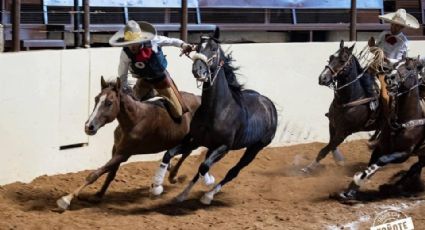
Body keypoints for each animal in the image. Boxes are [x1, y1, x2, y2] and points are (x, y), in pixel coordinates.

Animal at [55, 77, 200, 210]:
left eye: (109, 102)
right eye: (96, 99)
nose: (89, 126)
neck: (135, 119)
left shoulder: (124, 154)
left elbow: (96, 173)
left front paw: (66, 199)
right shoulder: (116, 150)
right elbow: (111, 173)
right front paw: (98, 195)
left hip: (192, 141)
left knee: (186, 153)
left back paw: (173, 176)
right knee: (181, 153)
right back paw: (172, 173)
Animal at [150, 29, 278, 205]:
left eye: (213, 48)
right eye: (197, 47)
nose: (198, 70)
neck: (217, 110)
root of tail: (269, 105)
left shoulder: (224, 146)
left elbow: (204, 167)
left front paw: (209, 181)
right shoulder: (195, 139)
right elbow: (169, 154)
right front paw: (157, 186)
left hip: (255, 148)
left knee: (232, 172)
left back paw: (208, 196)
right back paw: (182, 195)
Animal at [300, 40, 380, 172]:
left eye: (343, 60)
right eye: (331, 57)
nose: (322, 78)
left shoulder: (344, 132)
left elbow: (325, 150)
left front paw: (308, 168)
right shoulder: (332, 125)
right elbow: (331, 146)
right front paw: (339, 159)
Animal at [338, 57, 425, 201]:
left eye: (408, 68)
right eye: (395, 65)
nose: (389, 78)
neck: (403, 120)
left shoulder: (403, 153)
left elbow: (381, 161)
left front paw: (357, 180)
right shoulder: (381, 147)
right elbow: (371, 165)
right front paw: (350, 191)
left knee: (415, 167)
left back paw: (394, 187)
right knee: (415, 167)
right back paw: (394, 187)